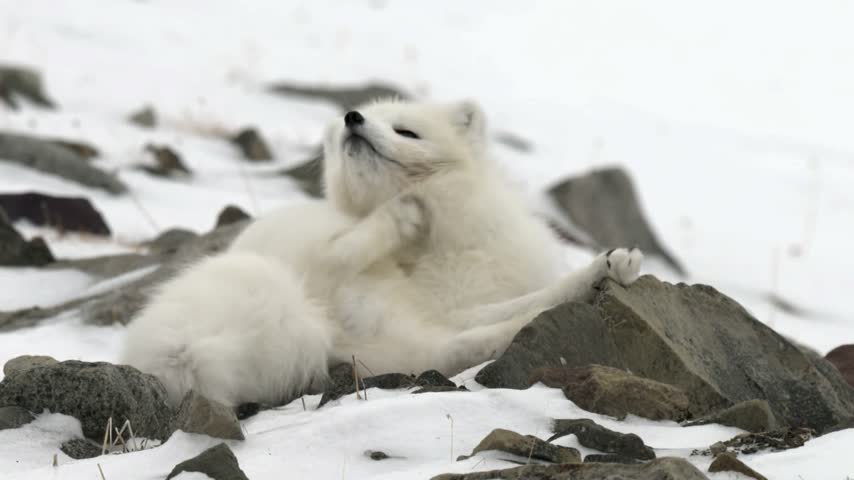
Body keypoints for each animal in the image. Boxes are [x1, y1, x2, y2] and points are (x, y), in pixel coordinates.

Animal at [122, 99, 643, 408]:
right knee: (346, 268)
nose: (351, 117)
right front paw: (405, 214)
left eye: (407, 132)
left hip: (387, 337)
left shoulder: (459, 303)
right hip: (276, 278)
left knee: (456, 346)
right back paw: (399, 219)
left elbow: (529, 297)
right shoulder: (443, 303)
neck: (438, 246)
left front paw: (608, 266)